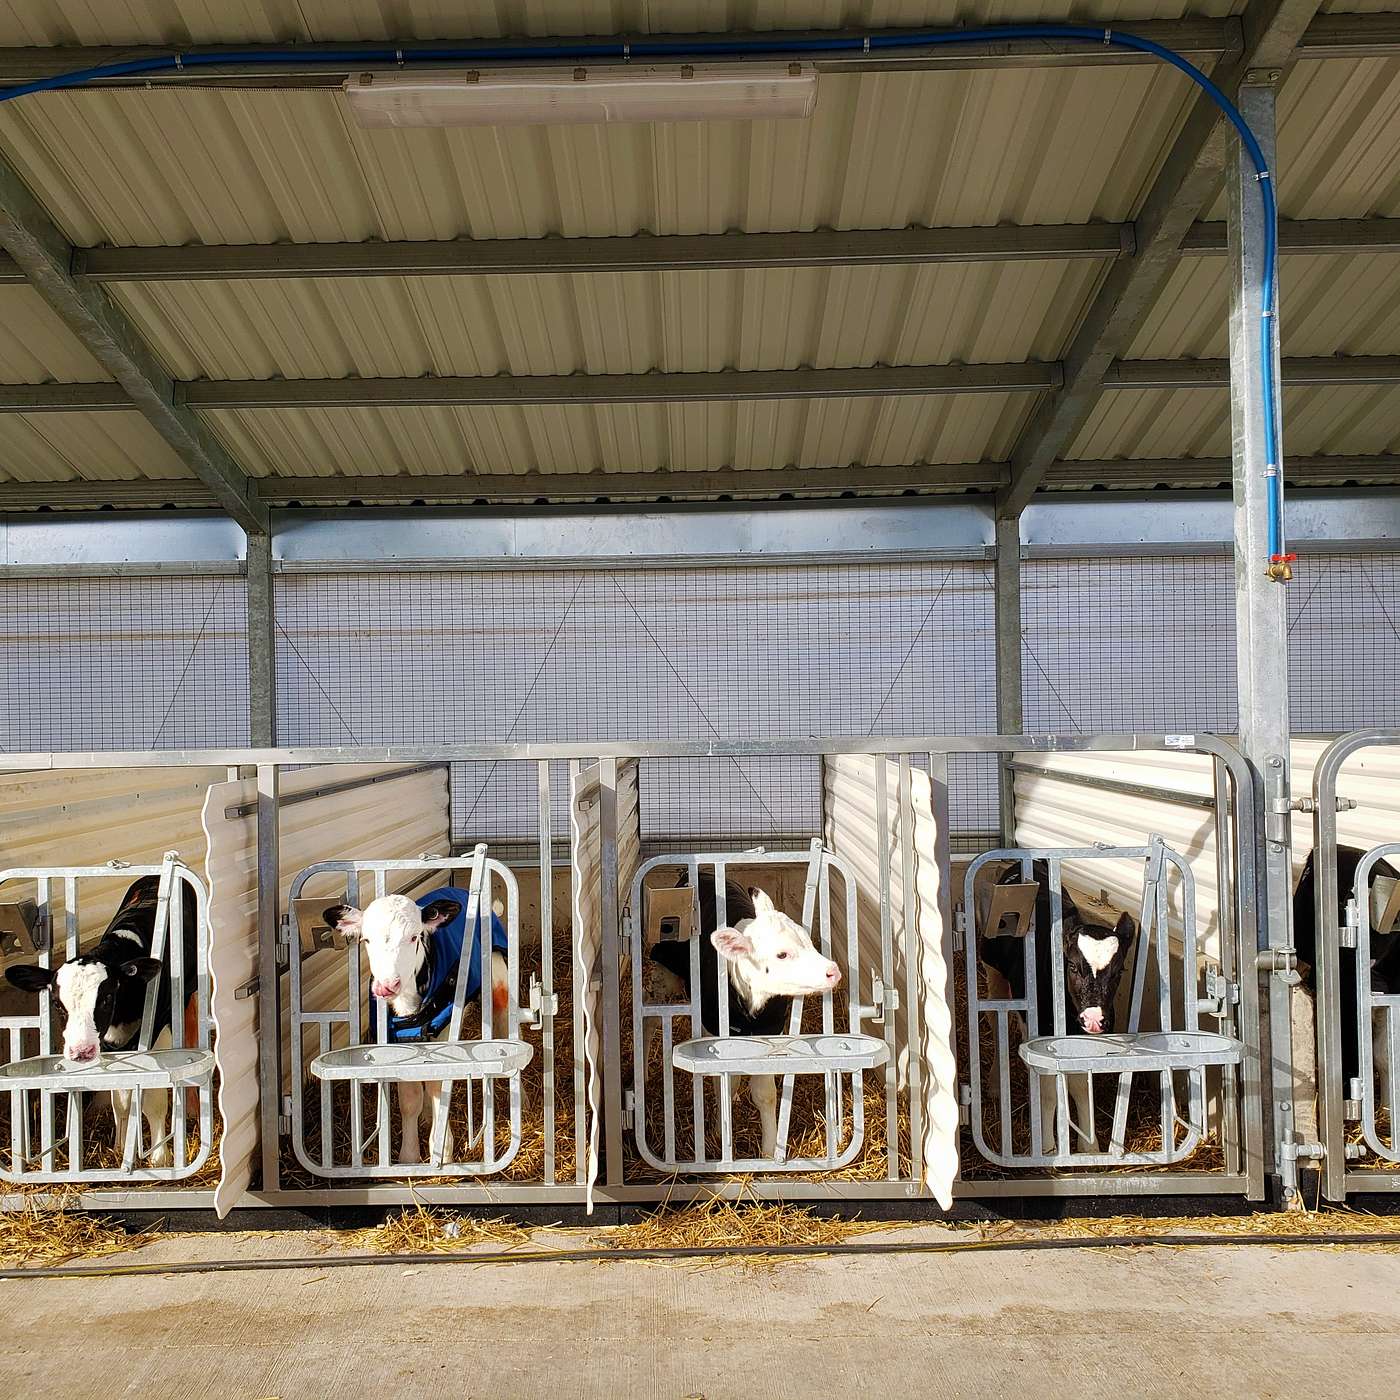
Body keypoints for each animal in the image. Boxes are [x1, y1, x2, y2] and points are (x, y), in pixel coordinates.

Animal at [4, 874, 199, 1168]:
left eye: (106, 998)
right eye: (57, 1003)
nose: (81, 1051)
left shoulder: (159, 1027)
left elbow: (153, 1096)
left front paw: (159, 1158)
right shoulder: (107, 1043)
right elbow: (120, 1095)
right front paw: (120, 1147)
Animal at [323, 887, 510, 1166]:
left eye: (414, 937)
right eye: (366, 940)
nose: (387, 985)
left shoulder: (443, 1034)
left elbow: (438, 1085)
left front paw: (442, 1149)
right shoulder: (395, 1040)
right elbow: (410, 1094)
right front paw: (408, 1155)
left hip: (498, 980)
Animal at [648, 875, 841, 1158]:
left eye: (808, 940)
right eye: (782, 954)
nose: (833, 971)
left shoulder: (771, 1031)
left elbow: (765, 1093)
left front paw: (769, 1151)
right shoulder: (714, 1032)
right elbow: (724, 1082)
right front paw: (721, 1134)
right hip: (665, 972)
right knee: (651, 1012)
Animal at [977, 860, 1136, 1153]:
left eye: (1119, 971)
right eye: (1072, 966)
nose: (1094, 1019)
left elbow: (1081, 1087)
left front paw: (1089, 1147)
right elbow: (1049, 1091)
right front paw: (1048, 1147)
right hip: (992, 969)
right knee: (996, 1021)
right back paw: (994, 1084)